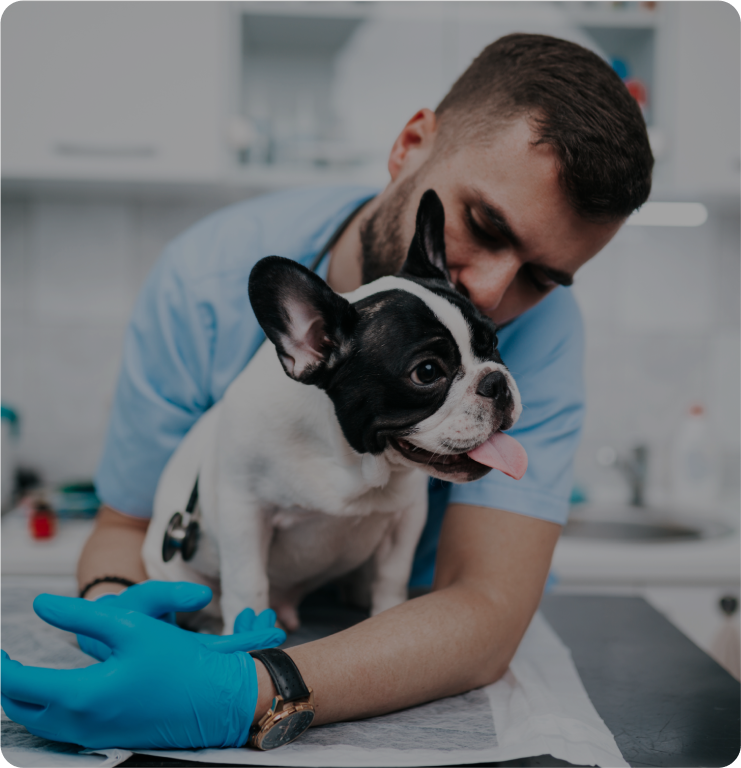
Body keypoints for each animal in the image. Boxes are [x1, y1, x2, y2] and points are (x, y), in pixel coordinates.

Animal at [142, 190, 528, 632]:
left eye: (493, 341)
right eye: (427, 372)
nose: (495, 382)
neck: (350, 460)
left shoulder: (406, 518)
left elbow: (392, 577)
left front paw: (387, 612)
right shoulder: (245, 513)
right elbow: (247, 585)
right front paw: (250, 633)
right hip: (174, 562)